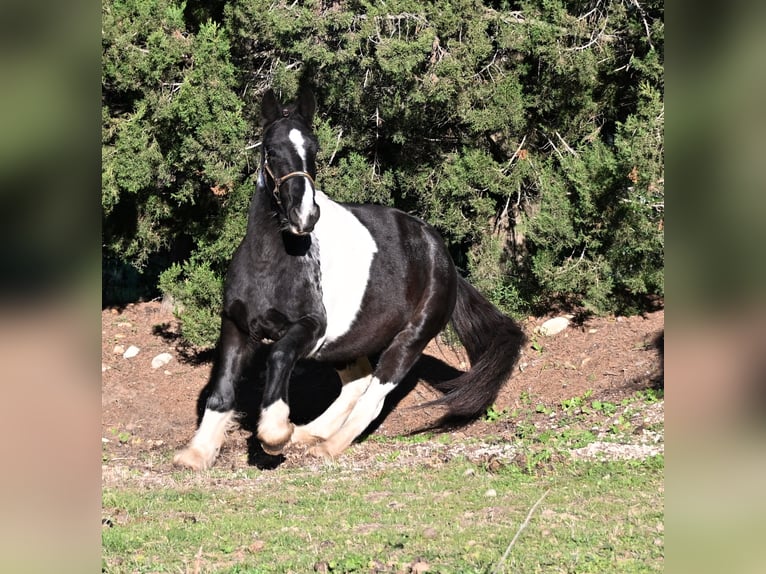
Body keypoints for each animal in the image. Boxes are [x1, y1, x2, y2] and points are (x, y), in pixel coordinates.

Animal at [173, 87, 526, 470]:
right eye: (271, 149)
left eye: (314, 149)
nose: (305, 215)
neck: (271, 265)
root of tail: (441, 255)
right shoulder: (236, 325)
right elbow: (221, 388)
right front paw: (196, 453)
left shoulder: (311, 329)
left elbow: (278, 356)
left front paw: (274, 433)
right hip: (348, 340)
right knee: (356, 384)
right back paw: (307, 433)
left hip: (409, 340)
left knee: (372, 397)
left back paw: (325, 446)